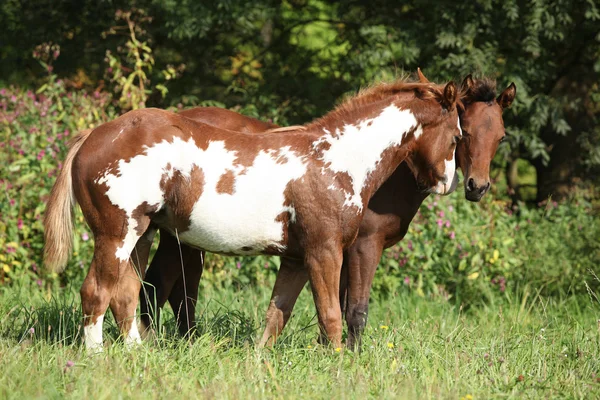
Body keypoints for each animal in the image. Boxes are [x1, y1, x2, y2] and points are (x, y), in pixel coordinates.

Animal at [44, 77, 462, 350]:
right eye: (458, 135)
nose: (448, 182)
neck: (335, 160)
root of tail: (95, 135)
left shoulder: (295, 259)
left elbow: (276, 316)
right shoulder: (324, 252)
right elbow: (330, 316)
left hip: (140, 237)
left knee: (127, 295)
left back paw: (138, 354)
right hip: (115, 235)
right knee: (97, 293)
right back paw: (98, 358)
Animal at [136, 72, 516, 350]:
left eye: (501, 136)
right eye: (463, 134)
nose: (476, 186)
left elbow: (336, 307)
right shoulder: (363, 246)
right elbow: (354, 309)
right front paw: (350, 356)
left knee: (178, 290)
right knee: (159, 286)